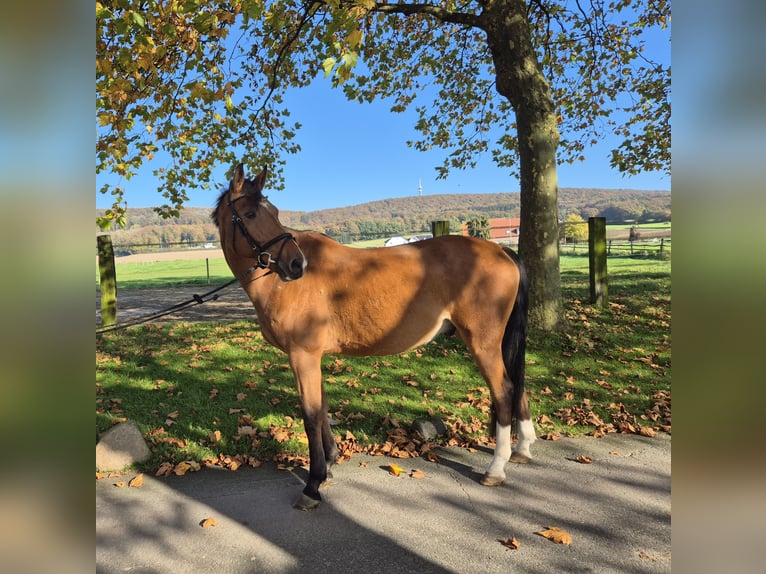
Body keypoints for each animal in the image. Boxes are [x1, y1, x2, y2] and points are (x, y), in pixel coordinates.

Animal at [213, 163, 536, 512]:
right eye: (250, 213)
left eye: (271, 212)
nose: (296, 264)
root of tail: (500, 249)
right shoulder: (313, 357)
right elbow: (322, 408)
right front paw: (329, 464)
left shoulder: (303, 354)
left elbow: (311, 416)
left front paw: (313, 485)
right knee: (517, 384)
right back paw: (523, 448)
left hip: (482, 342)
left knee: (504, 390)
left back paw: (496, 468)